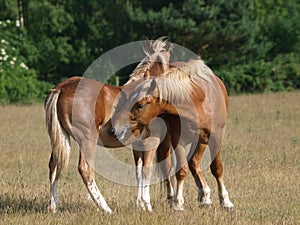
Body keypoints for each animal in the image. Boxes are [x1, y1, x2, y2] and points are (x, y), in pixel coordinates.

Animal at [45, 37, 175, 213]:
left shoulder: (137, 145)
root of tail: (61, 88)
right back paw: (105, 208)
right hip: (88, 139)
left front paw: (140, 204)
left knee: (54, 165)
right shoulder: (151, 141)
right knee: (85, 169)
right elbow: (147, 171)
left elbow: (139, 172)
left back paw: (54, 206)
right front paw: (147, 206)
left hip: (61, 139)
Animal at [109, 58, 236, 211]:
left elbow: (216, 168)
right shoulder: (177, 138)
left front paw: (226, 201)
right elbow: (181, 170)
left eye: (140, 105)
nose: (115, 129)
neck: (198, 100)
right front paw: (178, 203)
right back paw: (178, 197)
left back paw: (205, 197)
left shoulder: (215, 136)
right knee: (170, 166)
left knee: (194, 163)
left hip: (201, 141)